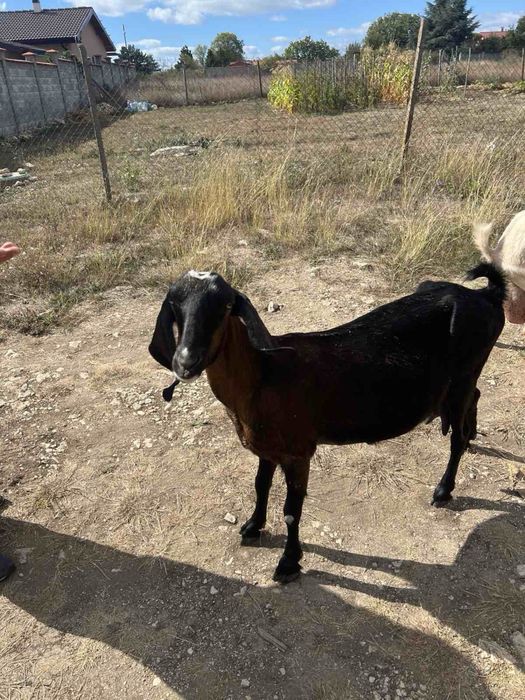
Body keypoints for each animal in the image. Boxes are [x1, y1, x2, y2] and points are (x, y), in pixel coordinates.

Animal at [149, 265, 505, 583]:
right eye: (174, 306)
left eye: (224, 307)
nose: (186, 361)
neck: (264, 376)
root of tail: (485, 296)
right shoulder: (267, 448)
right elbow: (260, 485)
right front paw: (252, 526)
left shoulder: (298, 452)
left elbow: (291, 511)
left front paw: (288, 563)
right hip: (461, 381)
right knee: (475, 397)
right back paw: (473, 435)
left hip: (464, 373)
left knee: (457, 435)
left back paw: (444, 489)